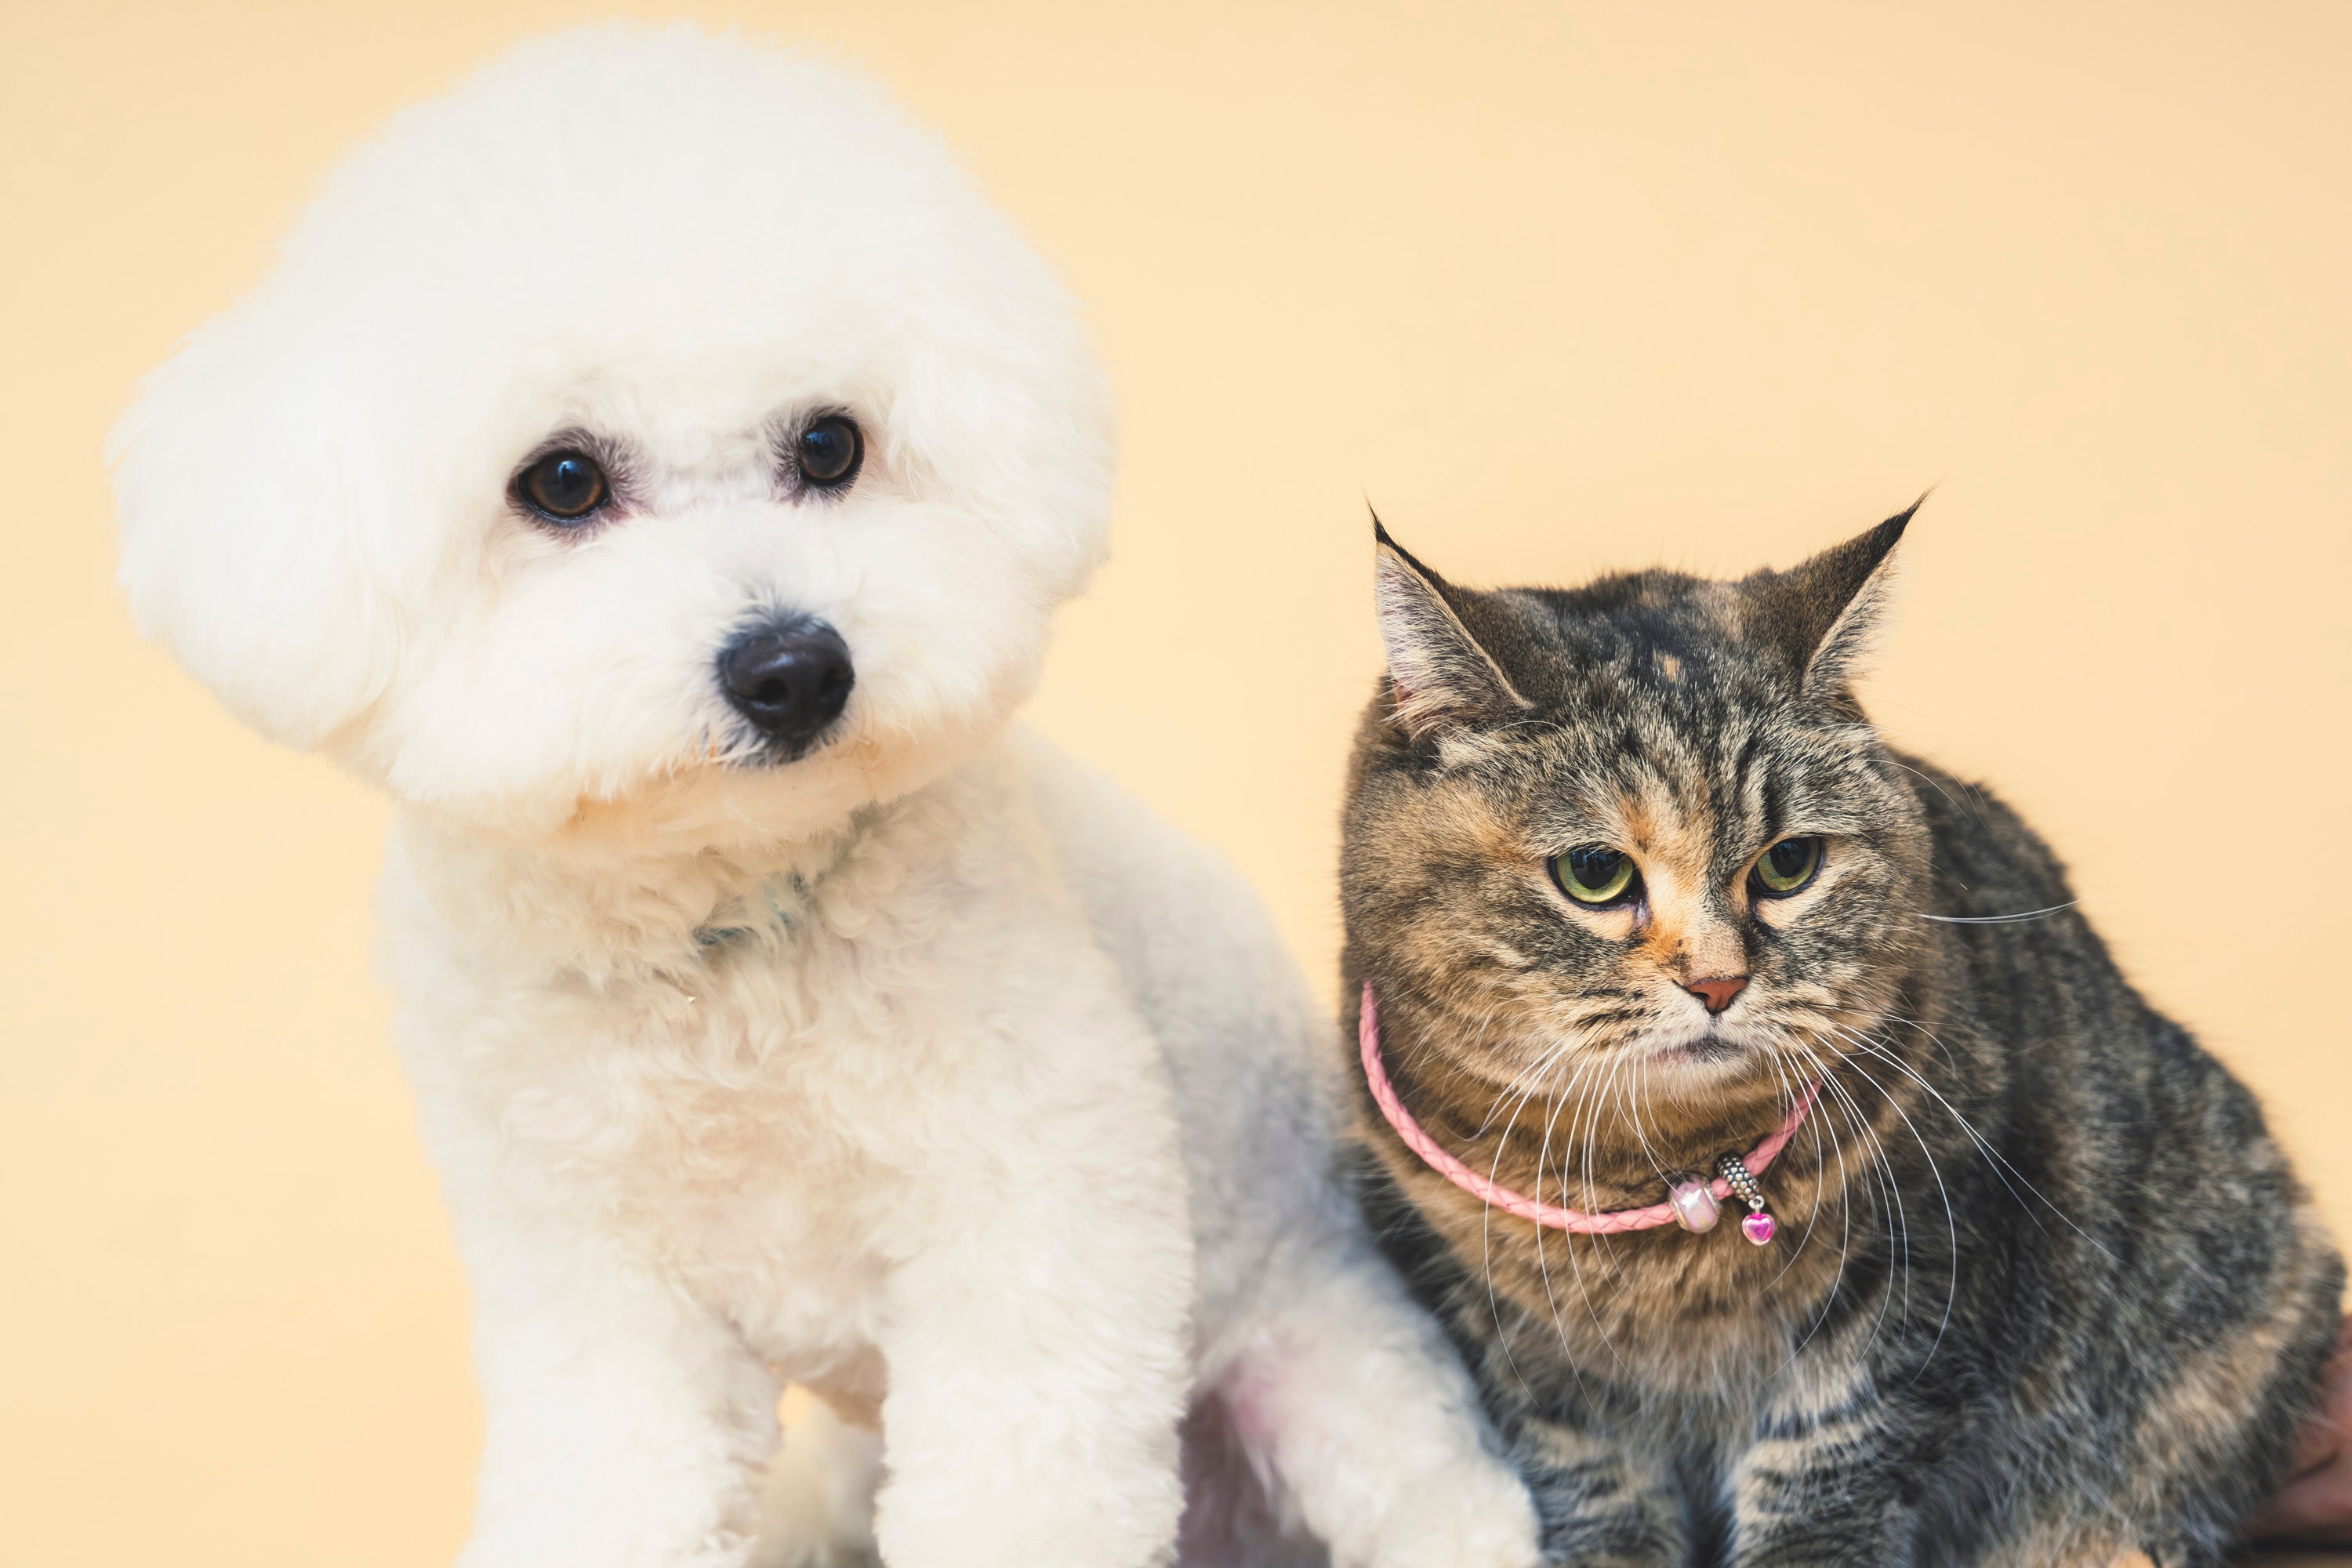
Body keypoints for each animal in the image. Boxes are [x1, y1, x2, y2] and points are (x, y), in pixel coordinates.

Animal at [112, 27, 1539, 1568]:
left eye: (830, 447)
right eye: (563, 480)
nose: (793, 667)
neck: (725, 948)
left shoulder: (1034, 1233)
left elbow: (1021, 1482)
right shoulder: (601, 1299)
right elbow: (611, 1477)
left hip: (1331, 1374)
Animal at [1335, 507, 2343, 1567]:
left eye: (1790, 862)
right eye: (1594, 873)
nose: (1719, 981)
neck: (1650, 1178)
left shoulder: (1915, 1281)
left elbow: (1828, 1477)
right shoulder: (1507, 1339)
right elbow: (1591, 1483)